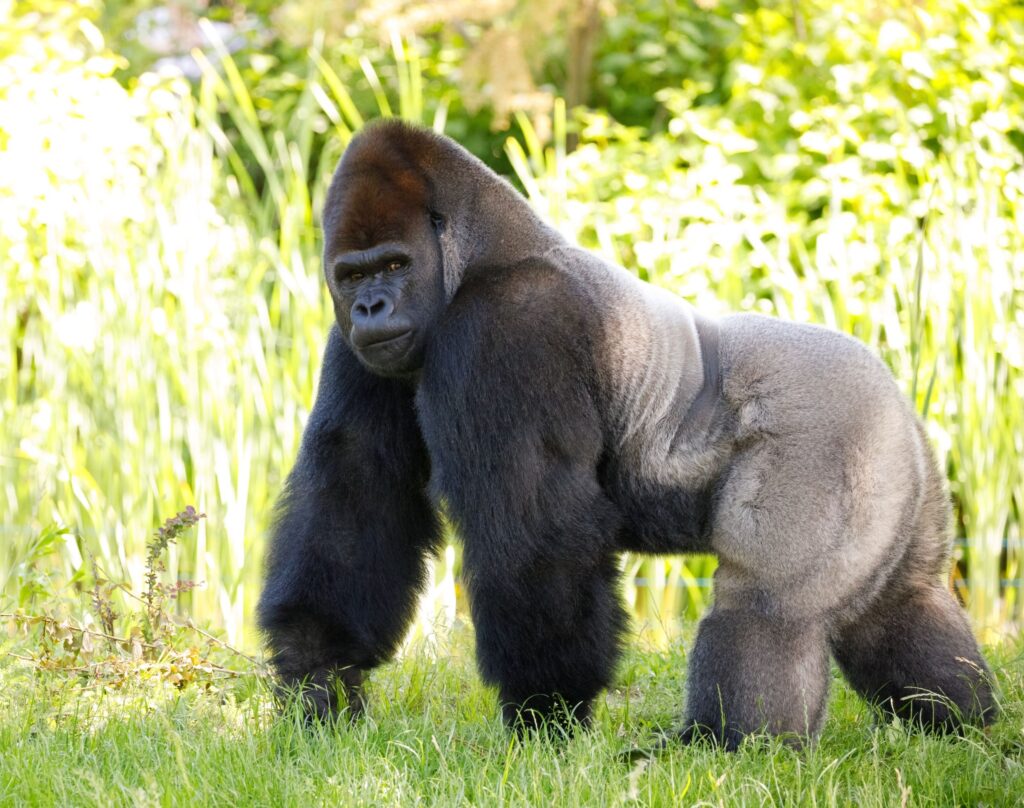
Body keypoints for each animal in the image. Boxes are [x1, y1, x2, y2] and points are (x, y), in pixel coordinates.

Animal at [257, 120, 997, 747]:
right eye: (352, 273)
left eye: (394, 265)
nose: (370, 307)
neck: (485, 251)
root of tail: (895, 395)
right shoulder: (359, 347)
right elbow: (356, 489)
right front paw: (319, 672)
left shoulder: (510, 328)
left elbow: (534, 531)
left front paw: (547, 709)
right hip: (895, 464)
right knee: (899, 605)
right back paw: (960, 723)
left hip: (833, 436)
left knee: (767, 608)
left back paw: (731, 747)